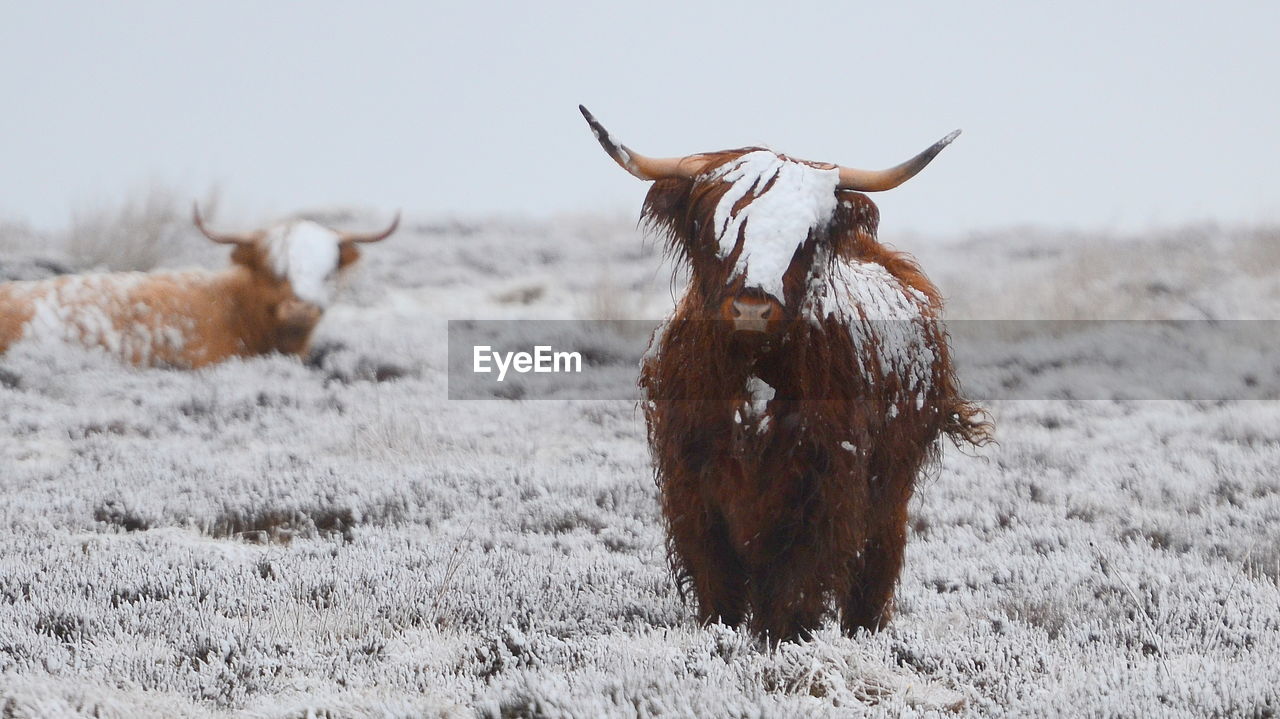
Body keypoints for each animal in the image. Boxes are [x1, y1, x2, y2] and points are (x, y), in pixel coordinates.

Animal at [581, 104, 988, 637]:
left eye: (806, 235)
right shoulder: (692, 489)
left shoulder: (825, 488)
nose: (753, 306)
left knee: (876, 567)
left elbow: (794, 589)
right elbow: (718, 586)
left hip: (891, 487)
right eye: (712, 227)